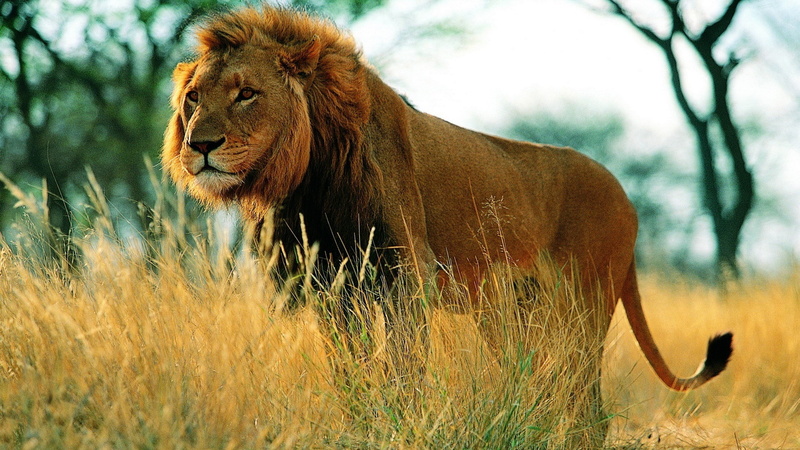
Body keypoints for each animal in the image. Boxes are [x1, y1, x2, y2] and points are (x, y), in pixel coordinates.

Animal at [163, 6, 732, 441]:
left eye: (246, 93)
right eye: (194, 97)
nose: (199, 145)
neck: (312, 180)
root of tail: (628, 197)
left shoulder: (404, 279)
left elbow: (405, 371)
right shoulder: (331, 288)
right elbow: (351, 372)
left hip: (581, 307)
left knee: (581, 397)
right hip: (514, 313)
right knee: (544, 385)